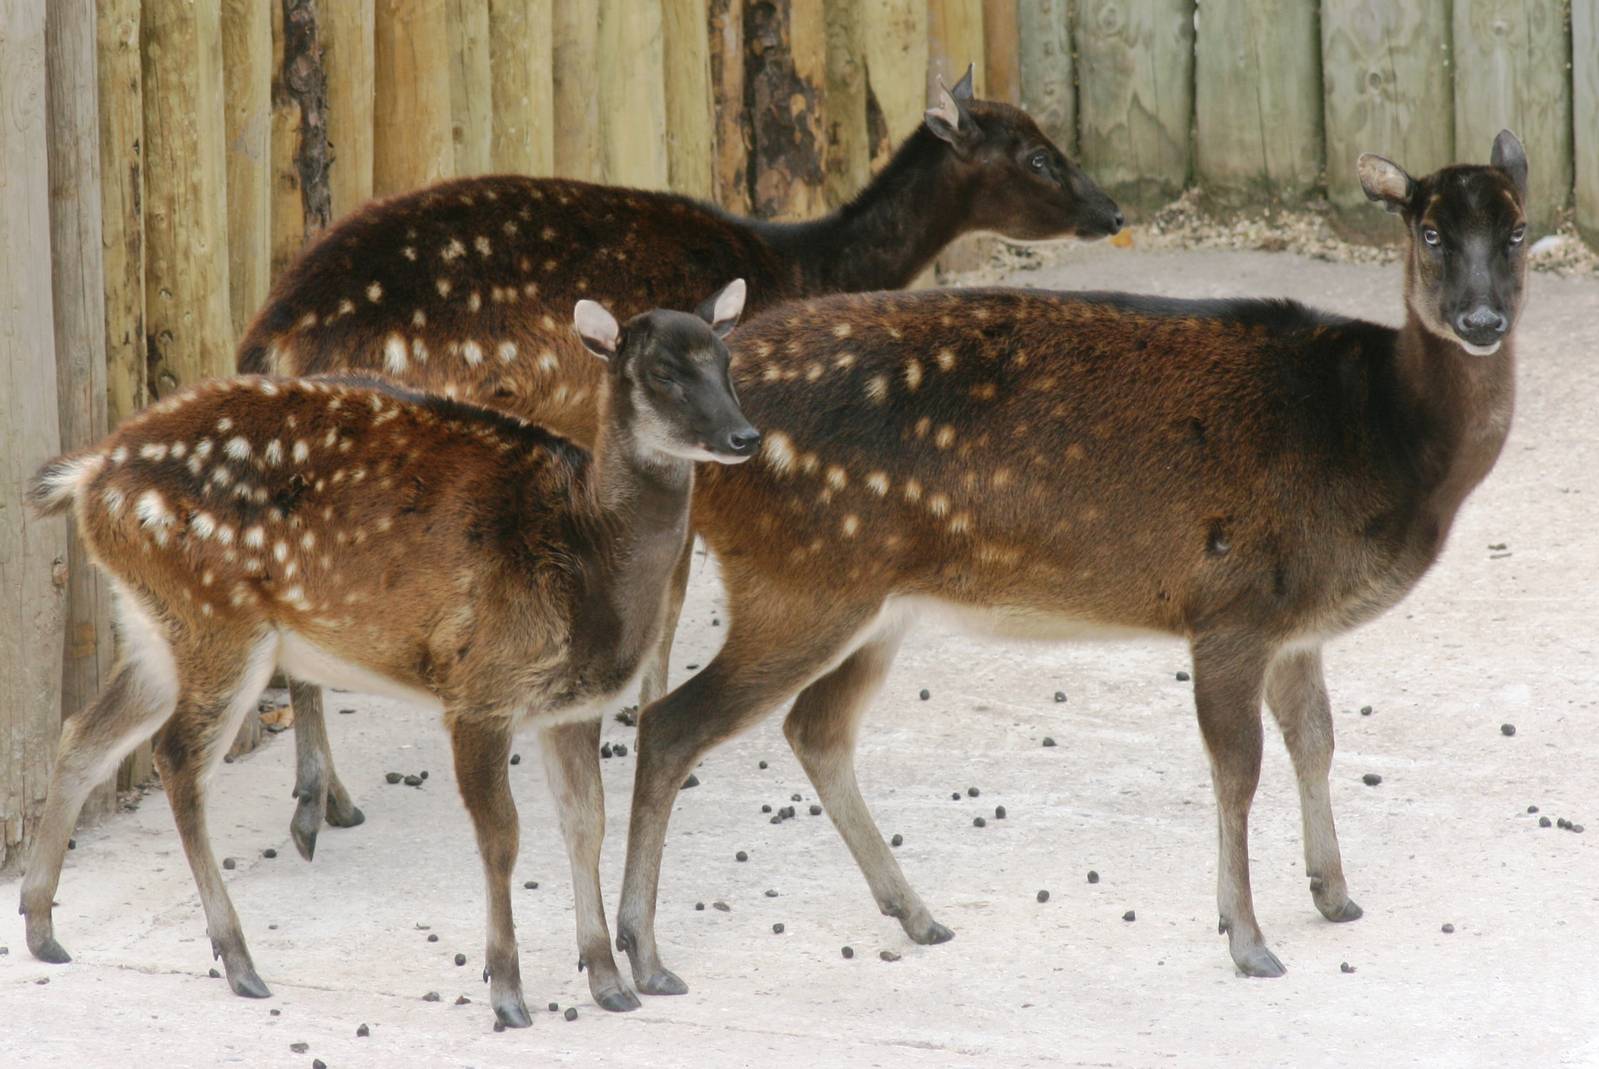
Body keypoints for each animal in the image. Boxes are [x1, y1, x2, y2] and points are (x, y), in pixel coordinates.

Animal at [20, 282, 754, 1027]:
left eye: (726, 362)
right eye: (662, 372)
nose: (744, 437)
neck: (590, 546)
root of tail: (88, 475)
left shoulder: (570, 705)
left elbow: (586, 824)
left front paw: (608, 979)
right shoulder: (478, 686)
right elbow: (502, 836)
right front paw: (507, 990)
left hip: (154, 623)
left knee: (85, 733)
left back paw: (42, 927)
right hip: (219, 618)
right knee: (176, 758)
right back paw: (240, 962)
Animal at [235, 68, 1123, 862]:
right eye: (1039, 155)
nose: (1112, 211)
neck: (805, 265)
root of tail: (272, 334)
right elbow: (672, 584)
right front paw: (642, 707)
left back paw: (327, 797)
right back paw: (320, 801)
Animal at [604, 132, 1531, 995]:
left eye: (1518, 227)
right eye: (1430, 230)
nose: (1481, 321)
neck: (1382, 437)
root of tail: (699, 442)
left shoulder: (1295, 623)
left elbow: (1316, 738)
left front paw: (1333, 892)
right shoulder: (1229, 604)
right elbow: (1238, 767)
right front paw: (1246, 939)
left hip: (868, 598)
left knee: (814, 727)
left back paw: (916, 914)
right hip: (802, 577)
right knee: (671, 723)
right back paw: (642, 955)